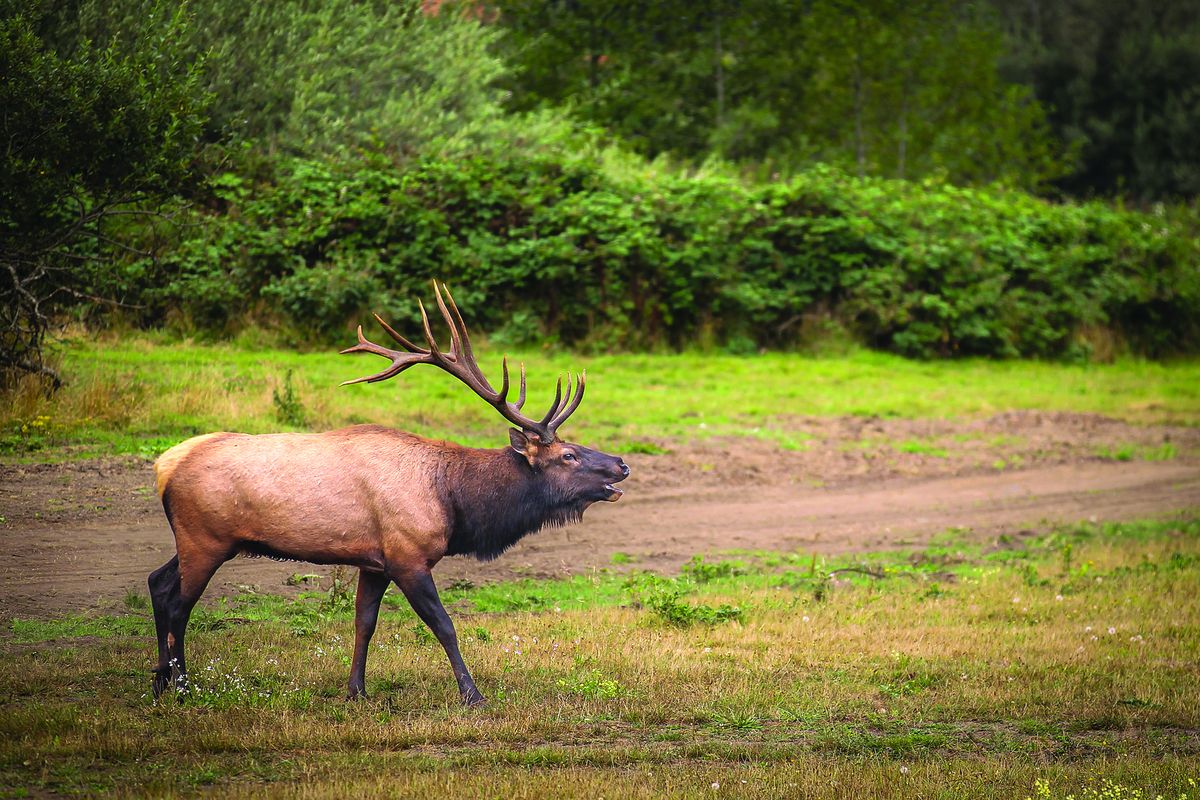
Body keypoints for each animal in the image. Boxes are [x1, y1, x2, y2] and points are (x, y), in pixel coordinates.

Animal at [148, 282, 629, 706]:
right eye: (568, 455)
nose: (622, 464)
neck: (453, 499)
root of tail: (163, 465)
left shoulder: (373, 561)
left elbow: (364, 623)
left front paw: (357, 692)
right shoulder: (408, 555)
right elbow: (445, 625)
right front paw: (472, 695)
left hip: (199, 539)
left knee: (157, 582)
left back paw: (160, 682)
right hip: (206, 538)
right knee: (178, 604)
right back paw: (183, 687)